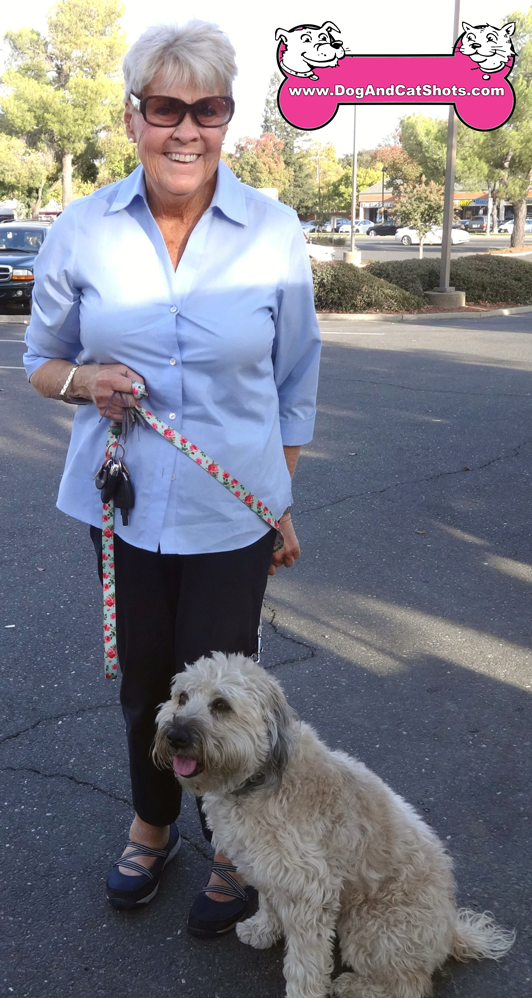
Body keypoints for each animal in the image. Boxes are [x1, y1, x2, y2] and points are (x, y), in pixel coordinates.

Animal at [154, 656, 516, 998]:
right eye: (182, 697)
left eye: (221, 705)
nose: (175, 735)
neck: (258, 779)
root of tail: (451, 931)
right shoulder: (267, 870)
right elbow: (269, 905)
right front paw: (262, 930)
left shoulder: (310, 894)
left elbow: (306, 965)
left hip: (371, 928)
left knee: (410, 985)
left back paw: (355, 986)